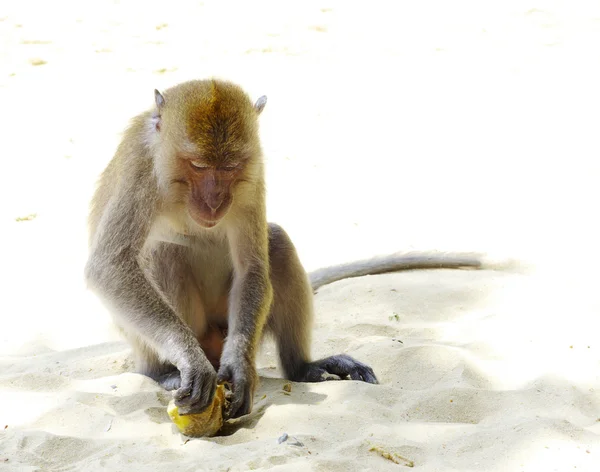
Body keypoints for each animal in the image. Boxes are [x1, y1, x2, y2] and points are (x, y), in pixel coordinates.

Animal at [84, 78, 482, 420]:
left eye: (230, 167)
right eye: (198, 165)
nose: (214, 203)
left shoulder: (253, 171)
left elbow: (253, 266)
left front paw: (240, 367)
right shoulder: (140, 169)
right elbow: (110, 267)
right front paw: (188, 358)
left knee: (275, 242)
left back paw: (301, 367)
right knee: (163, 254)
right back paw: (164, 370)